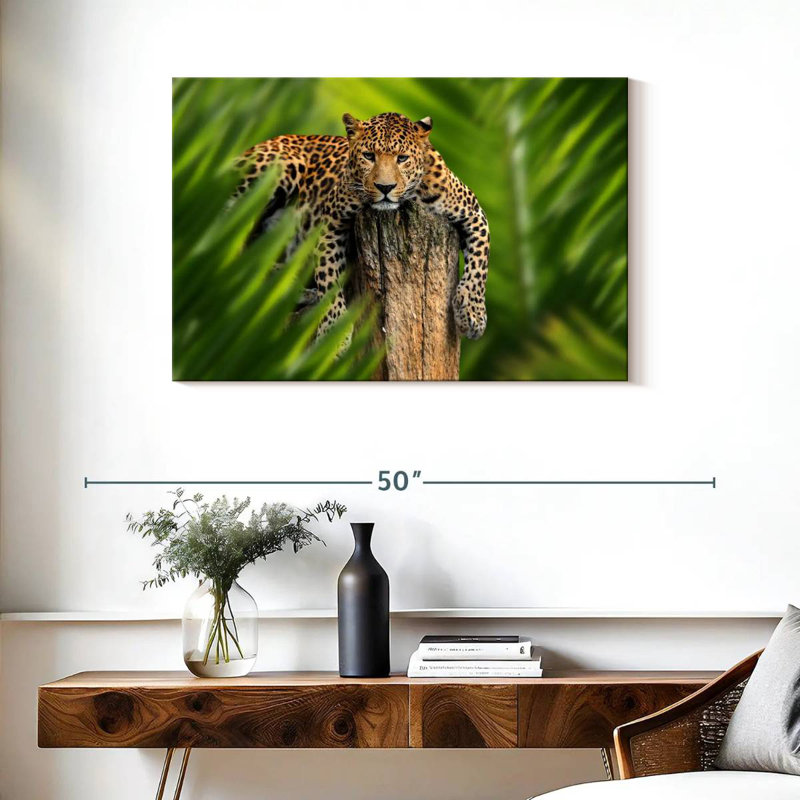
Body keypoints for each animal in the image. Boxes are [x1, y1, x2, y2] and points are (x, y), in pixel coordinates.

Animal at [234, 112, 489, 340]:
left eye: (402, 158)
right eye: (368, 155)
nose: (385, 187)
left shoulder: (473, 212)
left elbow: (480, 264)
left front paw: (472, 314)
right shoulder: (330, 221)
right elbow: (329, 276)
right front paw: (334, 332)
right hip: (278, 166)